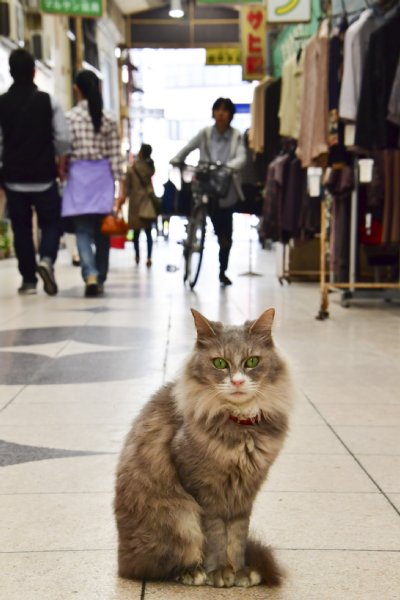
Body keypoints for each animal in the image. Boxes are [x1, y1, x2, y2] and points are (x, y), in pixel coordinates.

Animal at [114, 308, 296, 588]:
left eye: (252, 361)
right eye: (220, 363)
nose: (237, 382)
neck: (241, 425)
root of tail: (121, 560)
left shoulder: (246, 493)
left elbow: (237, 538)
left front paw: (239, 571)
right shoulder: (204, 491)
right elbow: (216, 537)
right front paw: (219, 572)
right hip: (182, 517)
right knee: (152, 568)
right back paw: (193, 573)